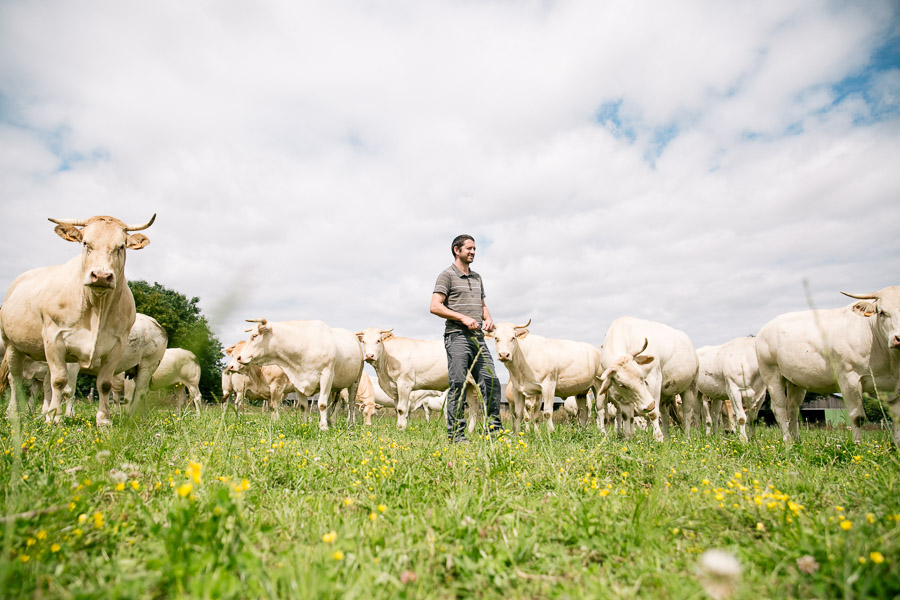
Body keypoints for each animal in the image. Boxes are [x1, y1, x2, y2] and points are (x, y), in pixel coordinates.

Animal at [0, 213, 155, 424]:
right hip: (11, 344)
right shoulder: (54, 340)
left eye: (121, 246)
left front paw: (104, 420)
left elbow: (104, 384)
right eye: (85, 243)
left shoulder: (117, 345)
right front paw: (54, 418)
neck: (96, 307)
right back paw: (14, 412)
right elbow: (59, 381)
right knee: (14, 379)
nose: (101, 276)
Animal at [237, 318, 368, 432]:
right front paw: (305, 425)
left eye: (254, 336)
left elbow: (322, 404)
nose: (239, 357)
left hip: (355, 381)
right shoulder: (297, 380)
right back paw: (330, 422)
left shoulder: (326, 375)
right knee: (331, 404)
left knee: (351, 404)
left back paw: (350, 424)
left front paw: (323, 427)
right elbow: (303, 406)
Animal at [756, 288, 896, 448]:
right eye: (882, 312)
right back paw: (788, 442)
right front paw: (857, 446)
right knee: (779, 408)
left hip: (795, 381)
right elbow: (857, 416)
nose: (897, 338)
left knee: (792, 408)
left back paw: (797, 440)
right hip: (771, 373)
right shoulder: (848, 378)